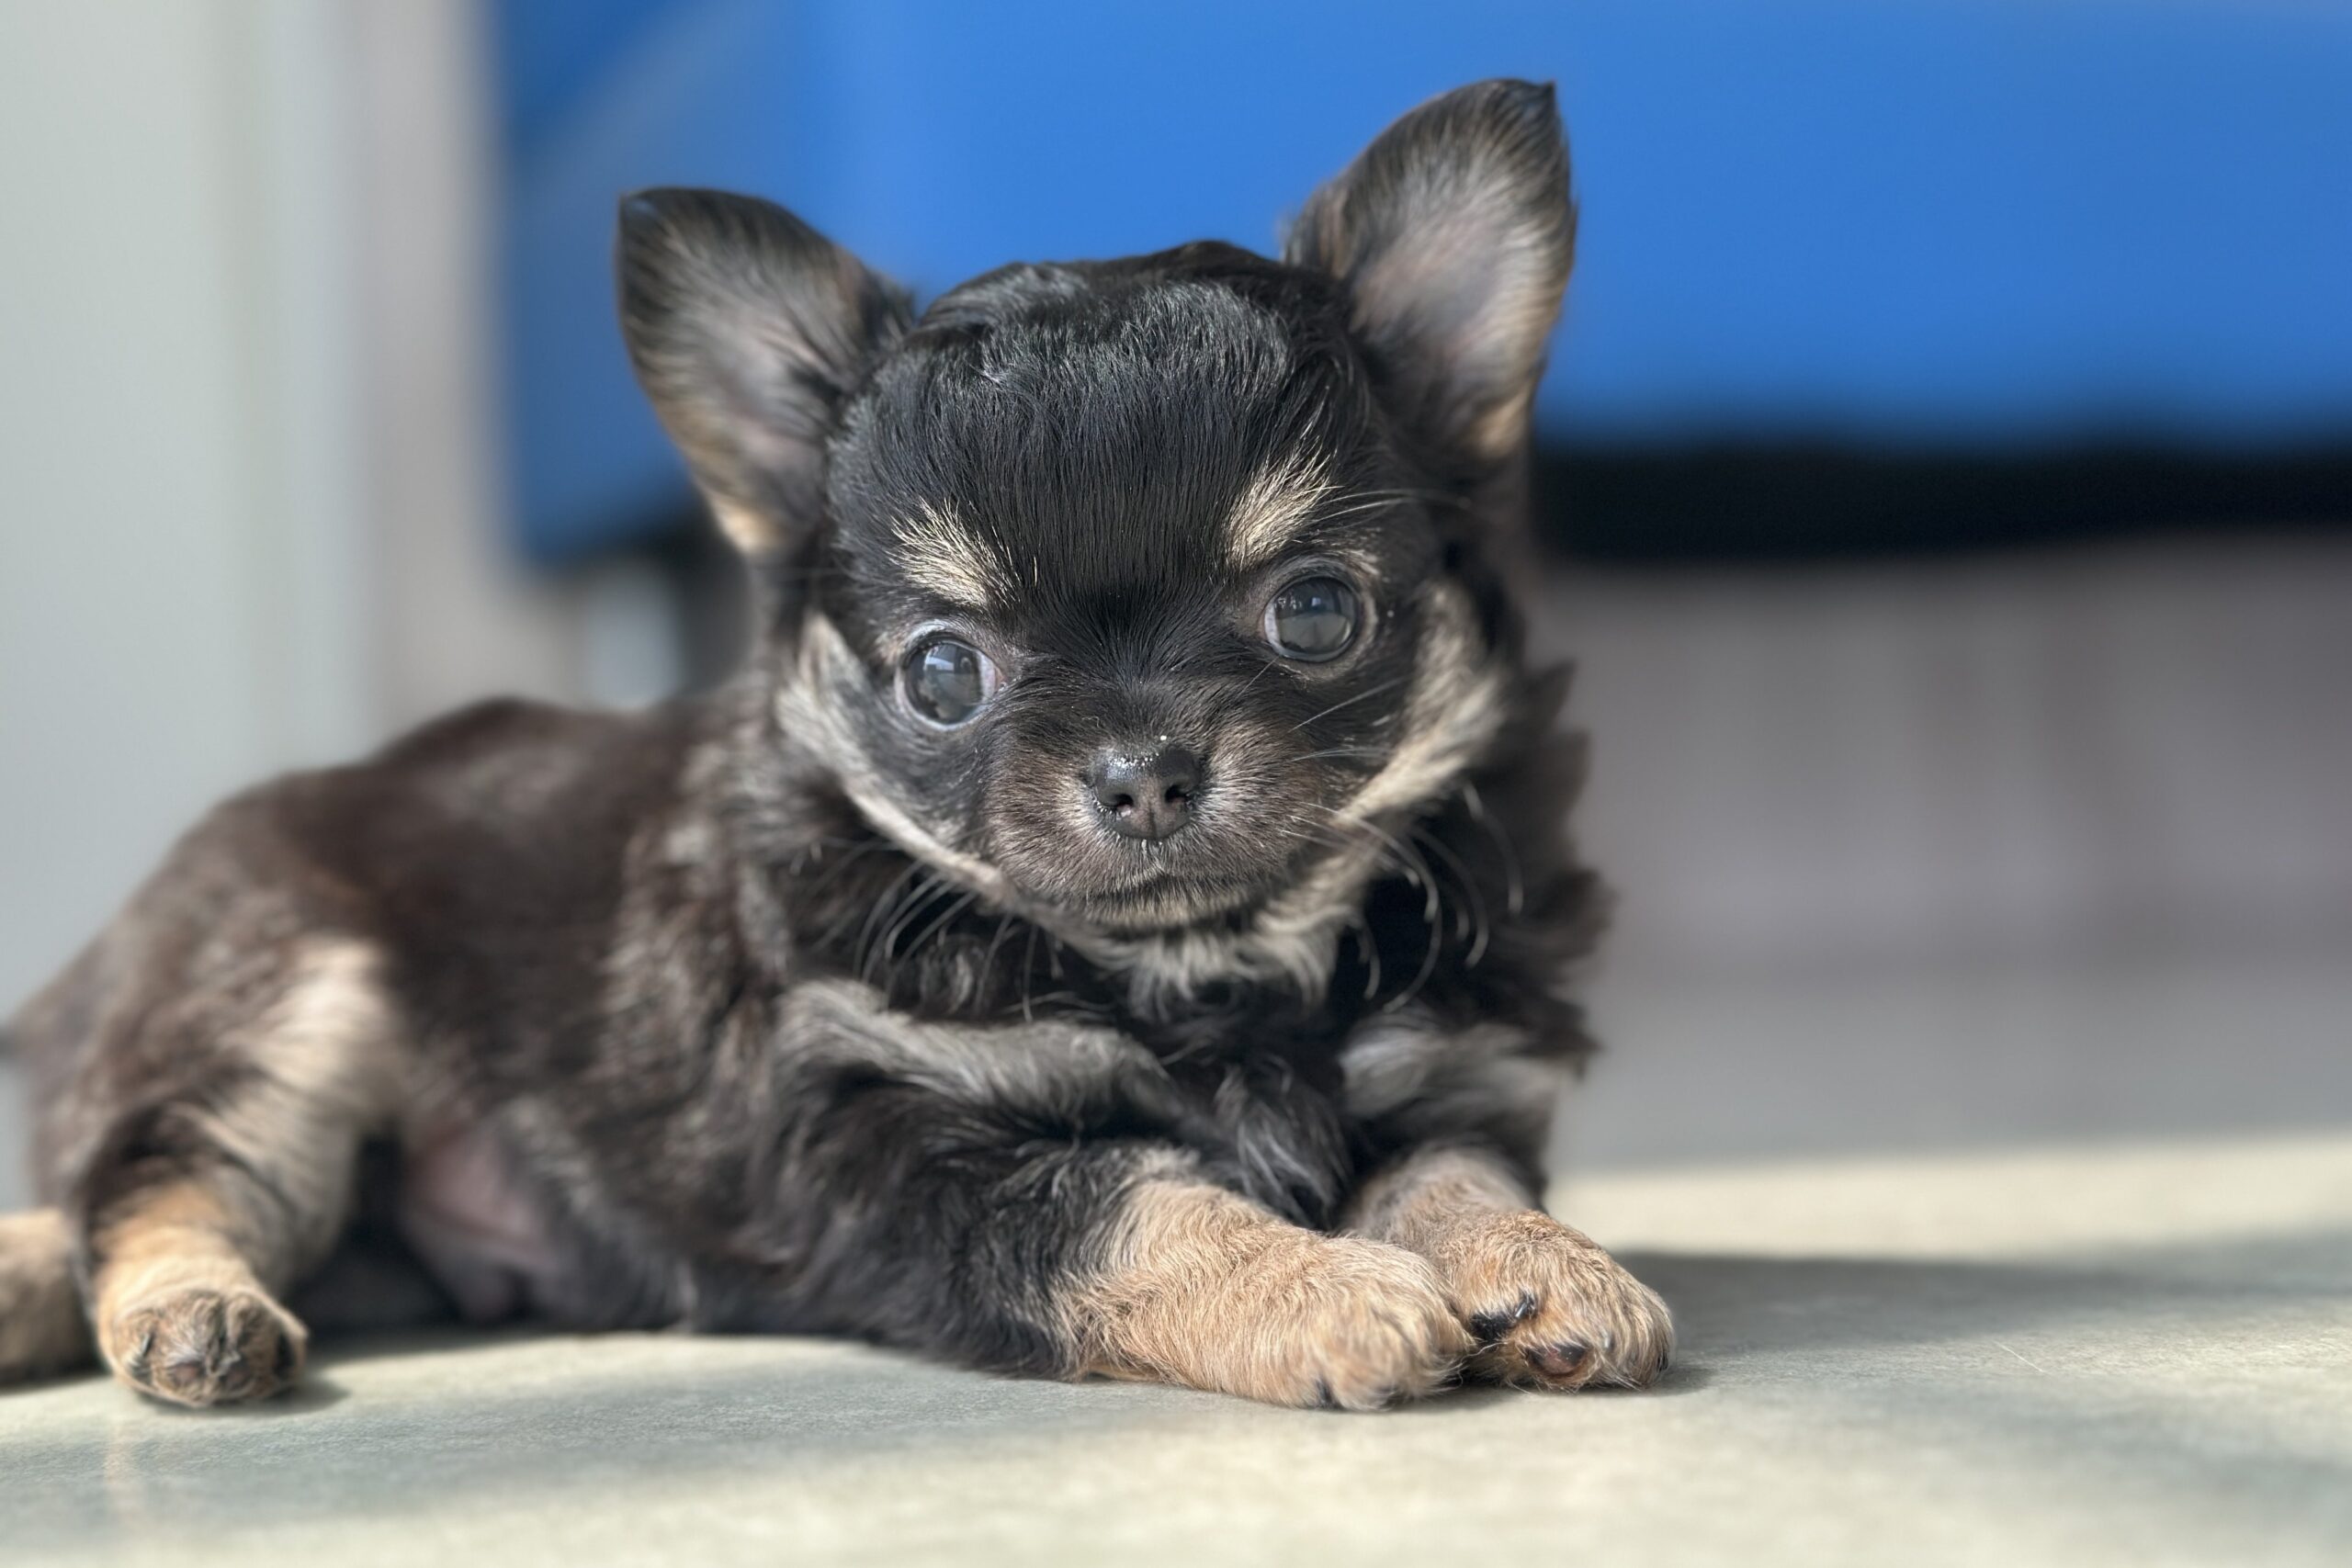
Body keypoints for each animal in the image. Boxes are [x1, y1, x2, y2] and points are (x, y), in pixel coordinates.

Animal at [0, 79, 1671, 1410]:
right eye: (942, 674)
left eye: (1316, 612)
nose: (1143, 767)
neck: (1202, 969)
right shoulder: (892, 1140)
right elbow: (1138, 1198)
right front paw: (1323, 1289)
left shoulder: (1448, 1078)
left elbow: (1451, 1176)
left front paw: (1551, 1264)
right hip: (283, 1000)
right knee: (144, 1188)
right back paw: (192, 1316)